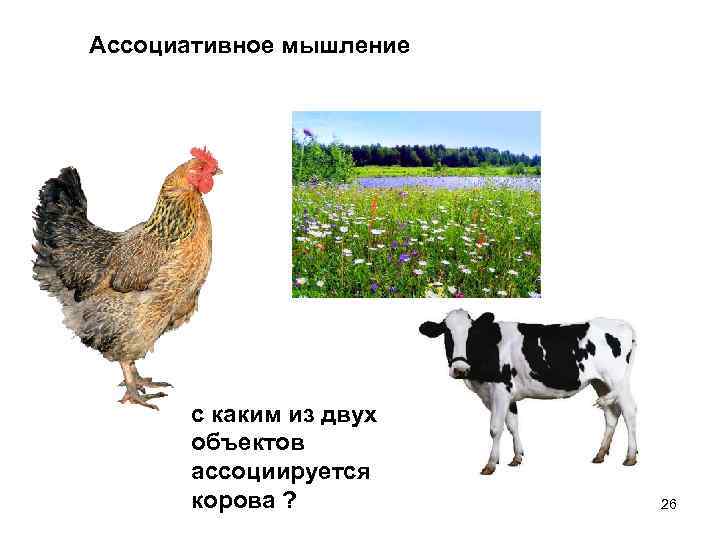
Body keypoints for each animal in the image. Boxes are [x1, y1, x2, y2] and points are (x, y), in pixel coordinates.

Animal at [419, 309, 637, 475]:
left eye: (472, 335)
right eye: (447, 335)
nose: (460, 369)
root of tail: (623, 325)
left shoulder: (500, 390)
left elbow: (495, 428)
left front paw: (490, 464)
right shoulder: (504, 395)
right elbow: (512, 425)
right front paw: (516, 457)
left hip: (617, 380)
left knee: (629, 412)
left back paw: (630, 456)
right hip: (600, 382)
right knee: (611, 415)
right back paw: (600, 454)